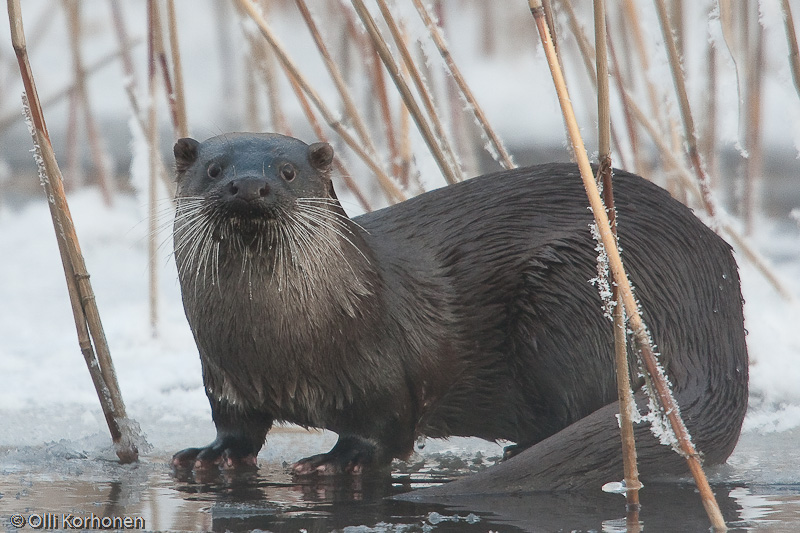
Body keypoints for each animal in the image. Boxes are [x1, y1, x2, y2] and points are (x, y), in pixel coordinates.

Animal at [170, 133, 752, 490]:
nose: (249, 185)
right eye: (214, 169)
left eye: (288, 172)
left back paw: (521, 449)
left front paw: (336, 461)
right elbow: (237, 426)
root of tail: (708, 312)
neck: (275, 348)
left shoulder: (385, 376)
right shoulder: (223, 377)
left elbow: (382, 431)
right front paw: (209, 454)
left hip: (572, 298)